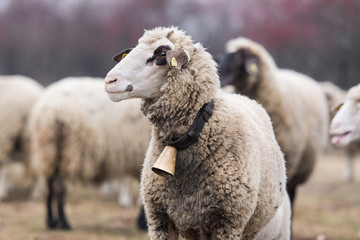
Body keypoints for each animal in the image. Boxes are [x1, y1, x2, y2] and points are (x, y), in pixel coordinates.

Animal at [28, 77, 151, 231]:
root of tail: (48, 111)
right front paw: (143, 222)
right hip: (68, 150)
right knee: (60, 187)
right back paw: (64, 222)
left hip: (50, 150)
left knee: (51, 185)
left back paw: (51, 221)